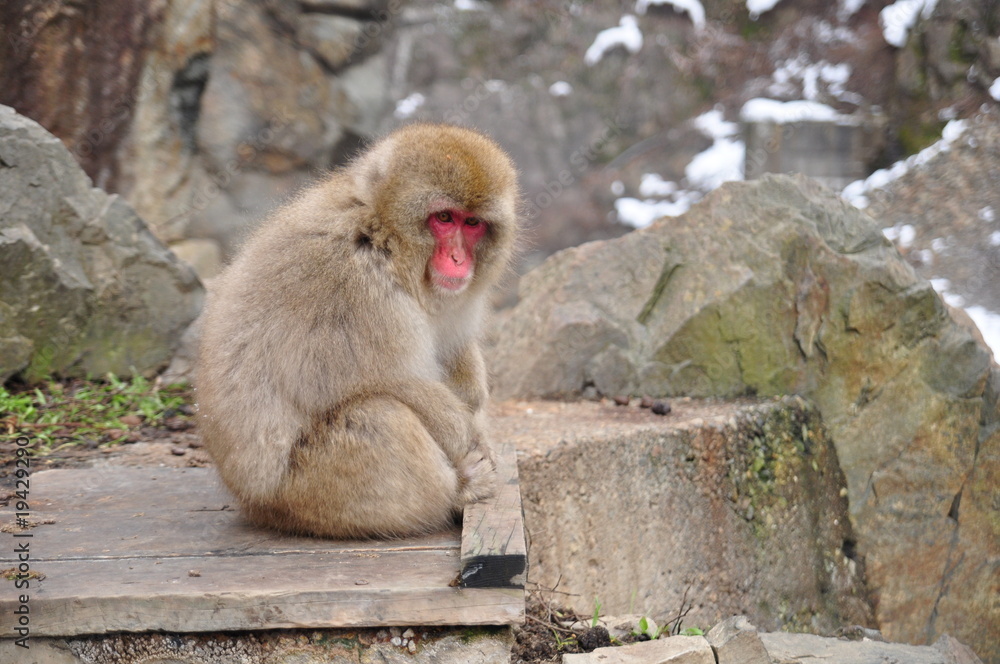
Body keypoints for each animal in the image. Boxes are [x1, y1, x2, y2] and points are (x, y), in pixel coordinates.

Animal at [198, 124, 520, 540]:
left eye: (473, 223)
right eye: (445, 217)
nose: (458, 259)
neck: (384, 237)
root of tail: (251, 501)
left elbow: (454, 353)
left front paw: (475, 397)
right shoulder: (353, 282)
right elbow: (395, 382)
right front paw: (468, 440)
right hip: (311, 492)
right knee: (381, 414)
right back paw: (460, 490)